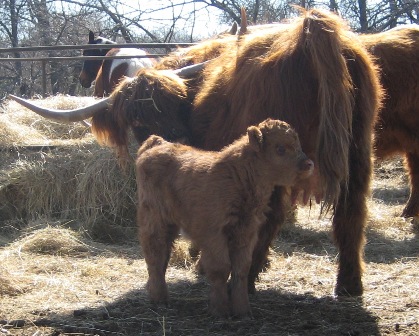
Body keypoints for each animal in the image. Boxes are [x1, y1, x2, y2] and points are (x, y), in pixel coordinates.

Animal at [137, 119, 316, 316]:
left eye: (298, 144)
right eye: (280, 148)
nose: (308, 164)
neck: (238, 175)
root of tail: (158, 143)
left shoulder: (246, 232)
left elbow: (241, 269)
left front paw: (243, 311)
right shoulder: (214, 234)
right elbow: (221, 269)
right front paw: (220, 309)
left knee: (162, 255)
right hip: (155, 219)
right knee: (155, 252)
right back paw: (159, 299)